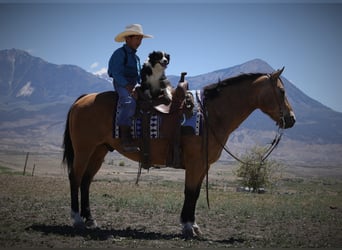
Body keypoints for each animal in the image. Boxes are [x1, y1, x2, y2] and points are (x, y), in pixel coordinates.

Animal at [62, 67, 296, 238]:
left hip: (98, 151)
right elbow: (190, 192)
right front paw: (187, 227)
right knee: (75, 178)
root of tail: (82, 99)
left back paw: (90, 219)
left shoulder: (202, 165)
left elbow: (196, 193)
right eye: (282, 91)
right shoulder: (195, 164)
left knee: (86, 181)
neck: (212, 114)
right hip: (84, 150)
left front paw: (193, 225)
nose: (292, 119)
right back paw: (77, 219)